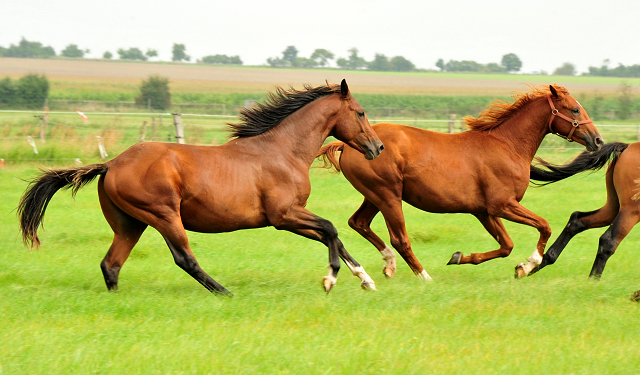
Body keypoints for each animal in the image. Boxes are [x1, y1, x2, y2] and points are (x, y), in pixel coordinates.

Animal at [17, 81, 382, 296]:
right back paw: (225, 292)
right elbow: (330, 229)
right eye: (361, 112)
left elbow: (332, 236)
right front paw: (331, 278)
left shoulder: (291, 216)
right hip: (164, 215)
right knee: (184, 258)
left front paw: (366, 278)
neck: (282, 151)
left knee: (112, 263)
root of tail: (112, 163)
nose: (377, 147)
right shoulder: (284, 215)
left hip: (129, 224)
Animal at [318, 83, 604, 280]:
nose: (598, 140)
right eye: (575, 108)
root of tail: (347, 145)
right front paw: (528, 264)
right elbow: (544, 226)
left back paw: (389, 265)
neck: (507, 145)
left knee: (359, 222)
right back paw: (424, 277)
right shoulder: (503, 205)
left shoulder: (485, 212)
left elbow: (506, 246)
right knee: (400, 239)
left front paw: (459, 257)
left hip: (374, 196)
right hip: (388, 196)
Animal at [528, 141, 640, 280]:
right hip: (630, 211)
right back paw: (592, 281)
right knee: (608, 241)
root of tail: (628, 146)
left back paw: (535, 265)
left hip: (613, 207)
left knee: (577, 221)